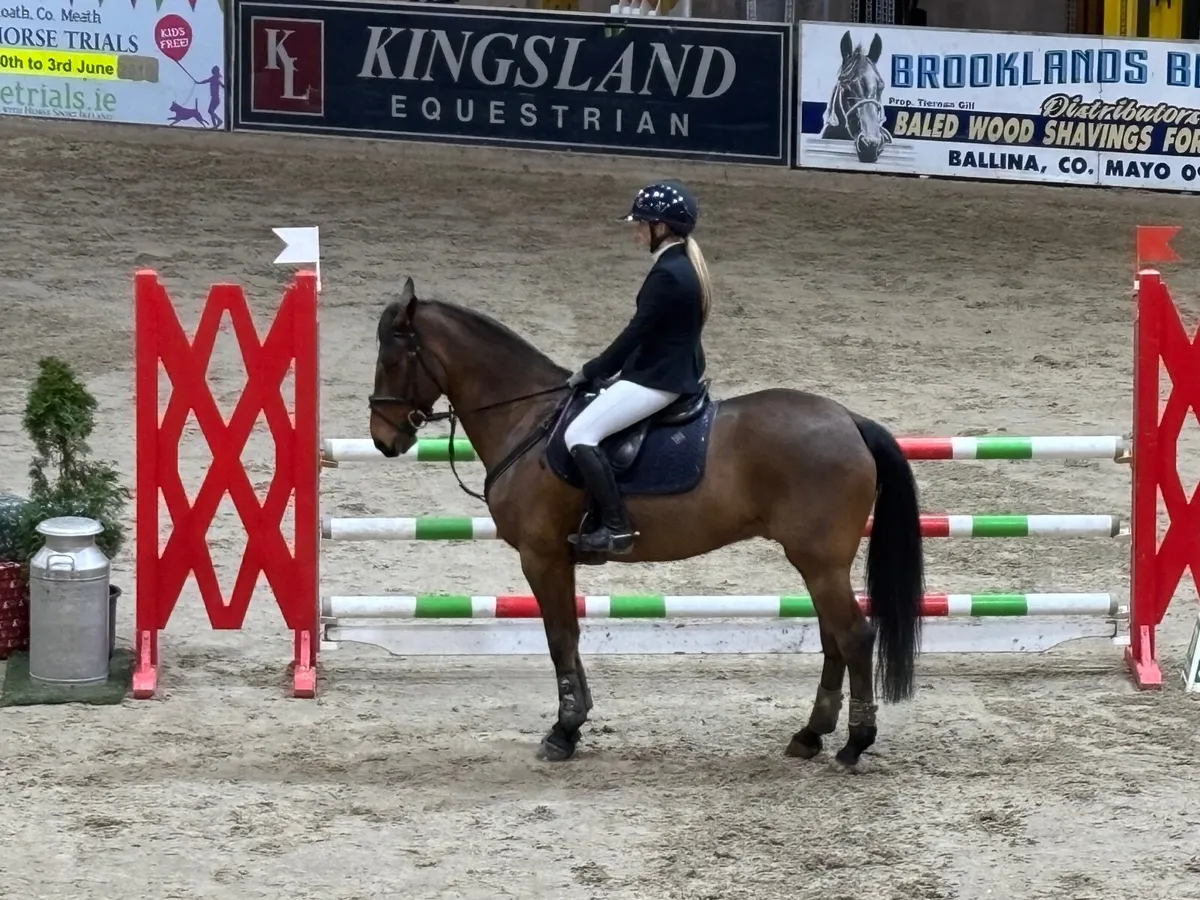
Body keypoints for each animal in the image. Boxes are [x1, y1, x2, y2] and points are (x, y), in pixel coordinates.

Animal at [369, 278, 925, 766]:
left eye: (392, 360)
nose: (383, 440)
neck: (528, 420)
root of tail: (850, 420)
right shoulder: (558, 558)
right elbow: (571, 635)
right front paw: (576, 721)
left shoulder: (541, 555)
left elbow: (559, 637)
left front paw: (563, 732)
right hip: (816, 563)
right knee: (834, 637)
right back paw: (810, 736)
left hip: (820, 561)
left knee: (854, 636)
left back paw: (855, 743)